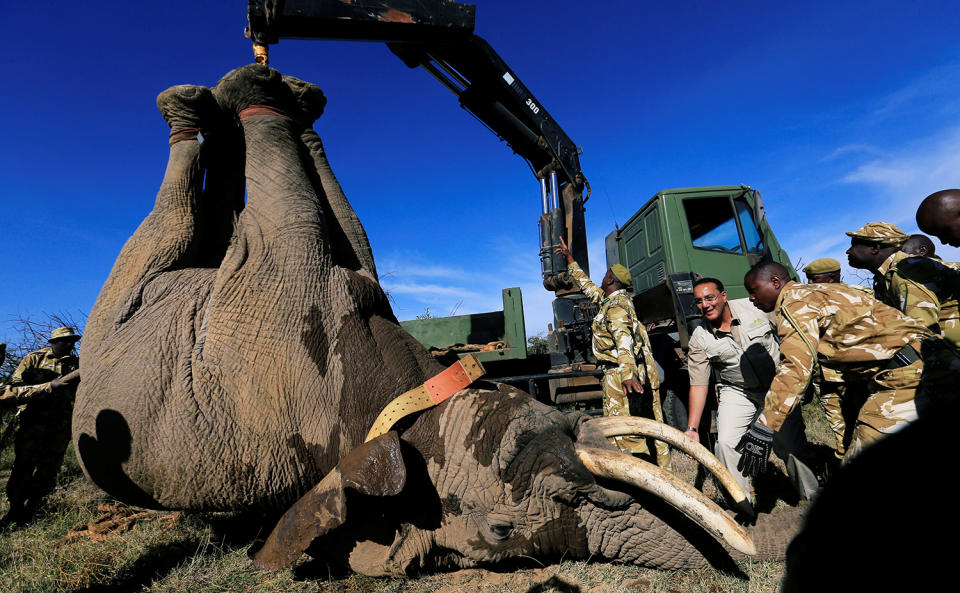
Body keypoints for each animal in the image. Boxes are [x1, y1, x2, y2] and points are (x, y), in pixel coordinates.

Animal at [73, 65, 796, 572]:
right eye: (508, 525)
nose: (745, 533)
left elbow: (344, 223)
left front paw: (294, 96)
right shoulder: (284, 329)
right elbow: (305, 213)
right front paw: (264, 86)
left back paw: (225, 105)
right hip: (120, 306)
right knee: (172, 220)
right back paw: (199, 103)